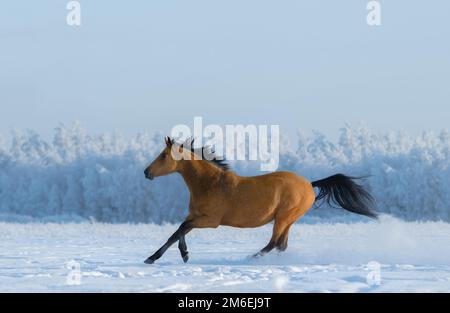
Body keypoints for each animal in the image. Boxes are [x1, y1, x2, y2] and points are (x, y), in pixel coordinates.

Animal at [143, 136, 376, 264]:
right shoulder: (196, 216)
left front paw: (153, 258)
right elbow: (179, 231)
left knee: (273, 243)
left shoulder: (210, 221)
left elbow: (179, 230)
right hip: (288, 220)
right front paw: (183, 254)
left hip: (283, 217)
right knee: (281, 245)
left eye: (163, 156)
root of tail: (309, 185)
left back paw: (250, 258)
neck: (209, 183)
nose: (146, 172)